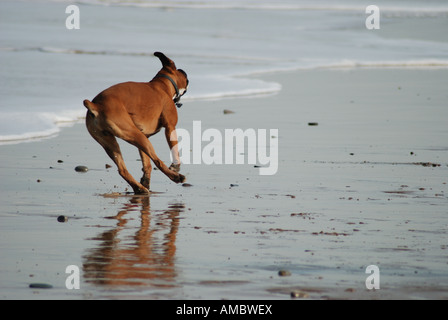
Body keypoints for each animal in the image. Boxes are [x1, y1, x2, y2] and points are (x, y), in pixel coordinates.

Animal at [83, 52, 187, 192]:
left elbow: (146, 163)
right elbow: (174, 151)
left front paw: (145, 180)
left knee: (122, 170)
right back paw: (175, 177)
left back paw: (140, 188)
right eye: (182, 72)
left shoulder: (146, 136)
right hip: (135, 135)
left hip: (113, 142)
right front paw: (176, 167)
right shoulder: (170, 127)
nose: (185, 73)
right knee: (157, 161)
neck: (161, 86)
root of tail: (96, 105)